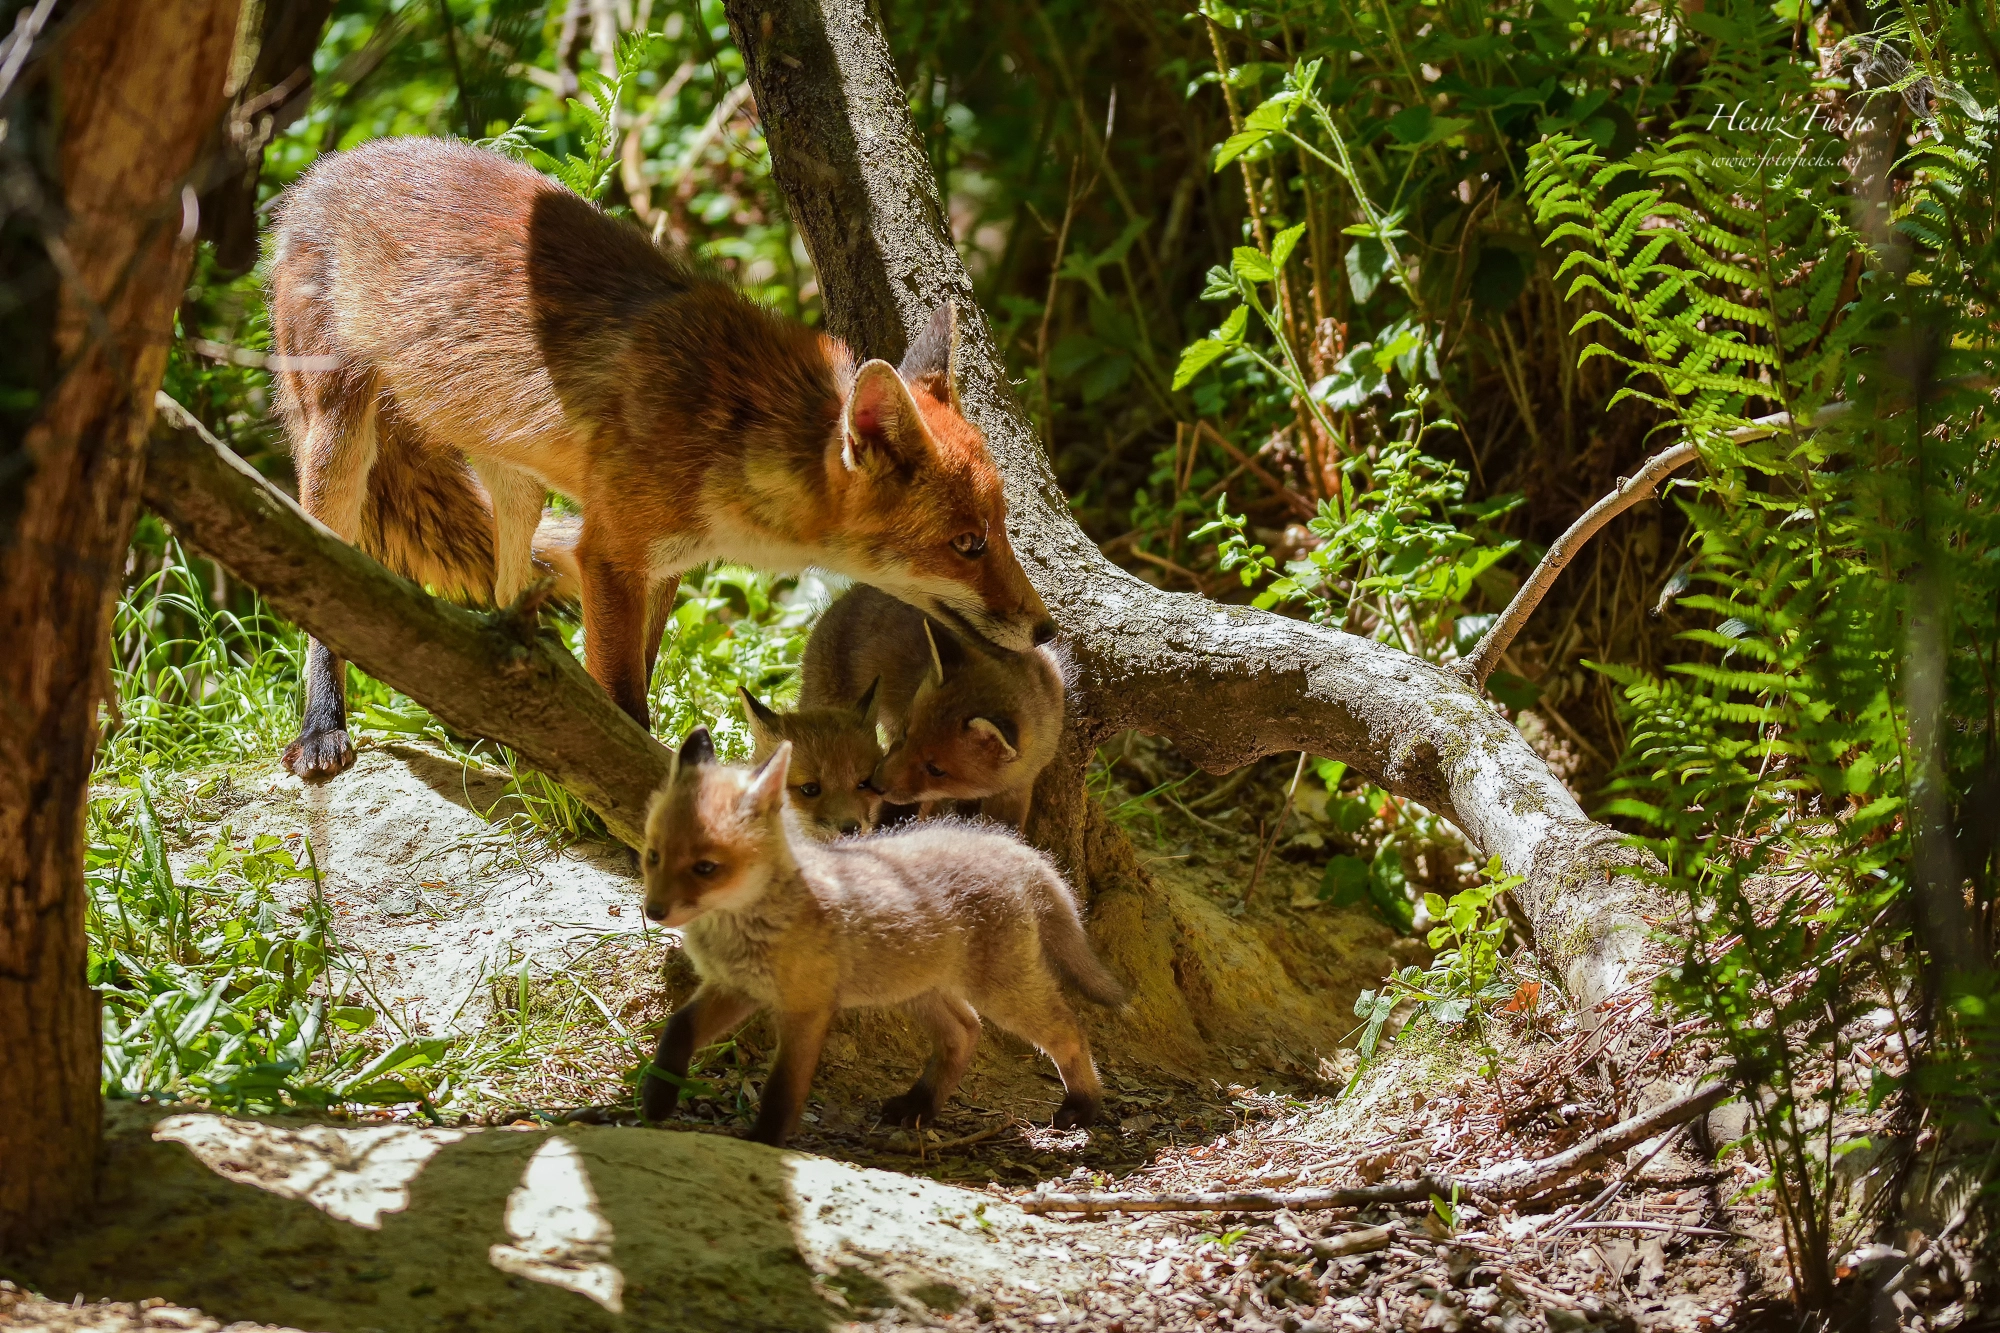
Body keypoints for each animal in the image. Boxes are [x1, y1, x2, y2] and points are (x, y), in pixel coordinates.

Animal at [265, 136, 1051, 780]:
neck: (729, 430)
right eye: (967, 544)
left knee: (506, 593)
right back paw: (324, 726)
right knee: (323, 577)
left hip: (514, 487)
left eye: (1002, 529)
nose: (1046, 628)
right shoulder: (610, 554)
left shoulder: (665, 563)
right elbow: (624, 701)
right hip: (338, 440)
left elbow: (638, 674)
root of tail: (325, 167)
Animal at [639, 727, 1124, 1147]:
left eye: (705, 868)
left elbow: (782, 1089)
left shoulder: (806, 1008)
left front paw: (764, 1142)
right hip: (916, 987)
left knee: (1067, 1030)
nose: (653, 912)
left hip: (1000, 992)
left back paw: (1084, 1106)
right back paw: (920, 1106)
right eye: (653, 856)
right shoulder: (735, 988)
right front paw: (657, 1098)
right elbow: (678, 1028)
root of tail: (1012, 847)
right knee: (965, 1031)